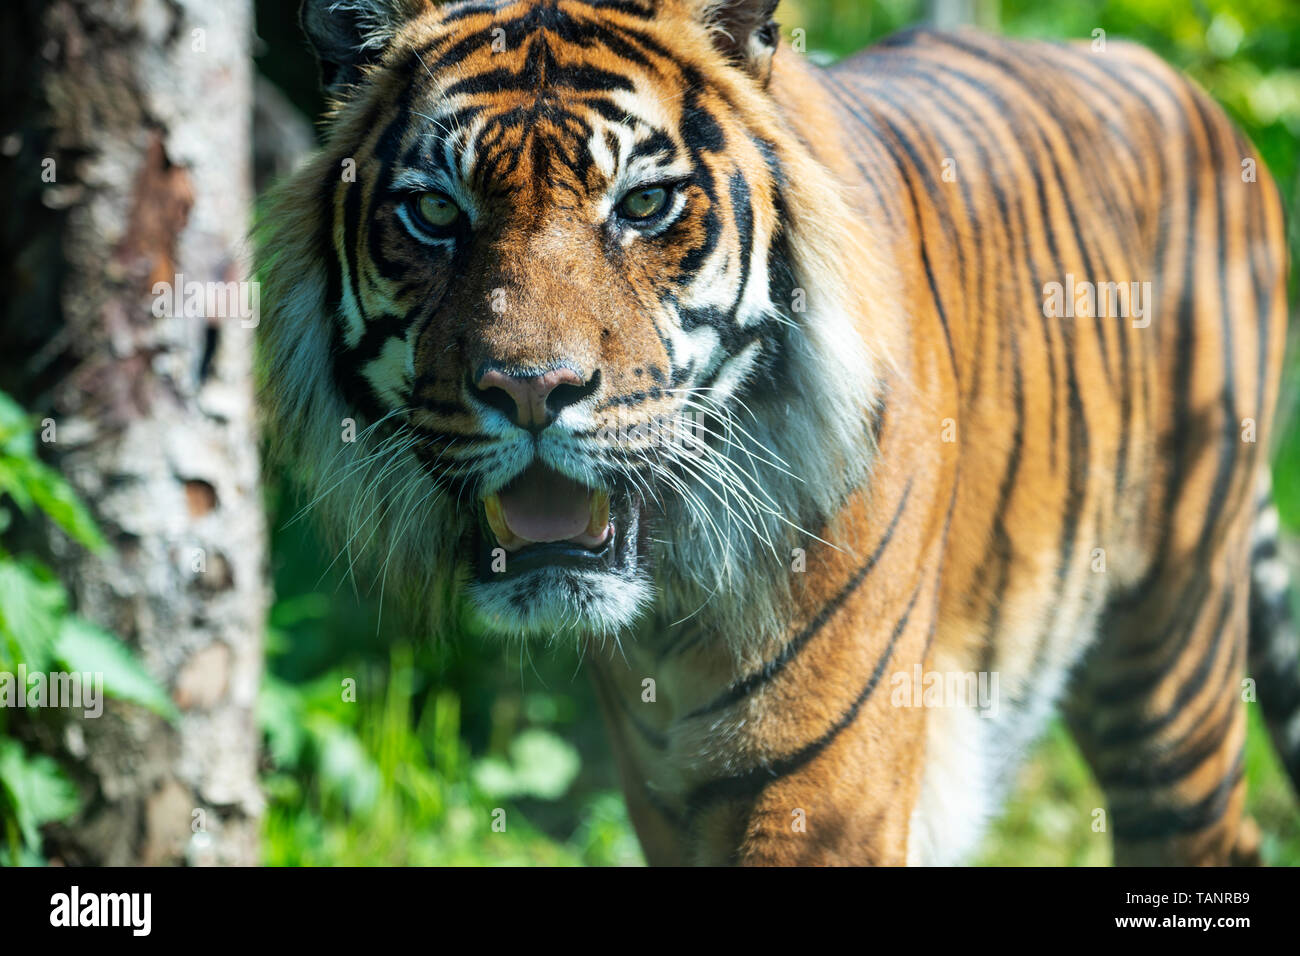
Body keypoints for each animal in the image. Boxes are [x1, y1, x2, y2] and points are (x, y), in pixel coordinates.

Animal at [256, 0, 1300, 868]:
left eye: (643, 204)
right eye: (436, 211)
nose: (531, 388)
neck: (674, 617)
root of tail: (1183, 89)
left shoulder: (825, 790)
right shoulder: (663, 798)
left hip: (1174, 659)